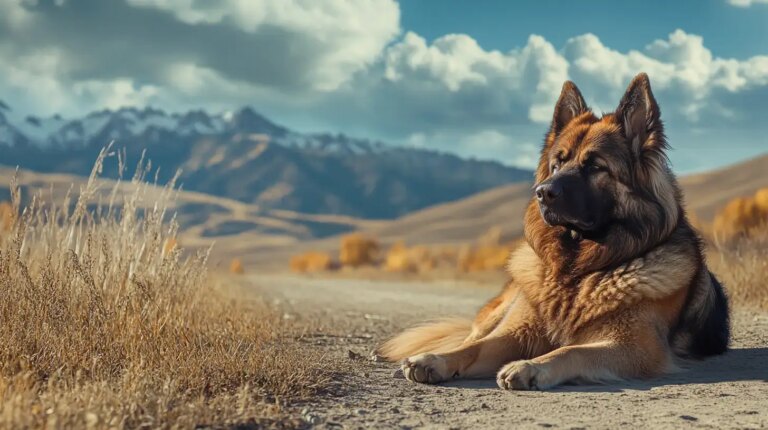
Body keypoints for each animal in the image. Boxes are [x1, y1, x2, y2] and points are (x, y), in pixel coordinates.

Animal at [380, 73, 728, 390]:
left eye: (595, 166)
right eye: (558, 163)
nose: (543, 193)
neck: (575, 273)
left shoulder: (635, 345)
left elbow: (571, 350)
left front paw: (530, 366)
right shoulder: (516, 332)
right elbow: (473, 349)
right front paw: (433, 360)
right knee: (470, 336)